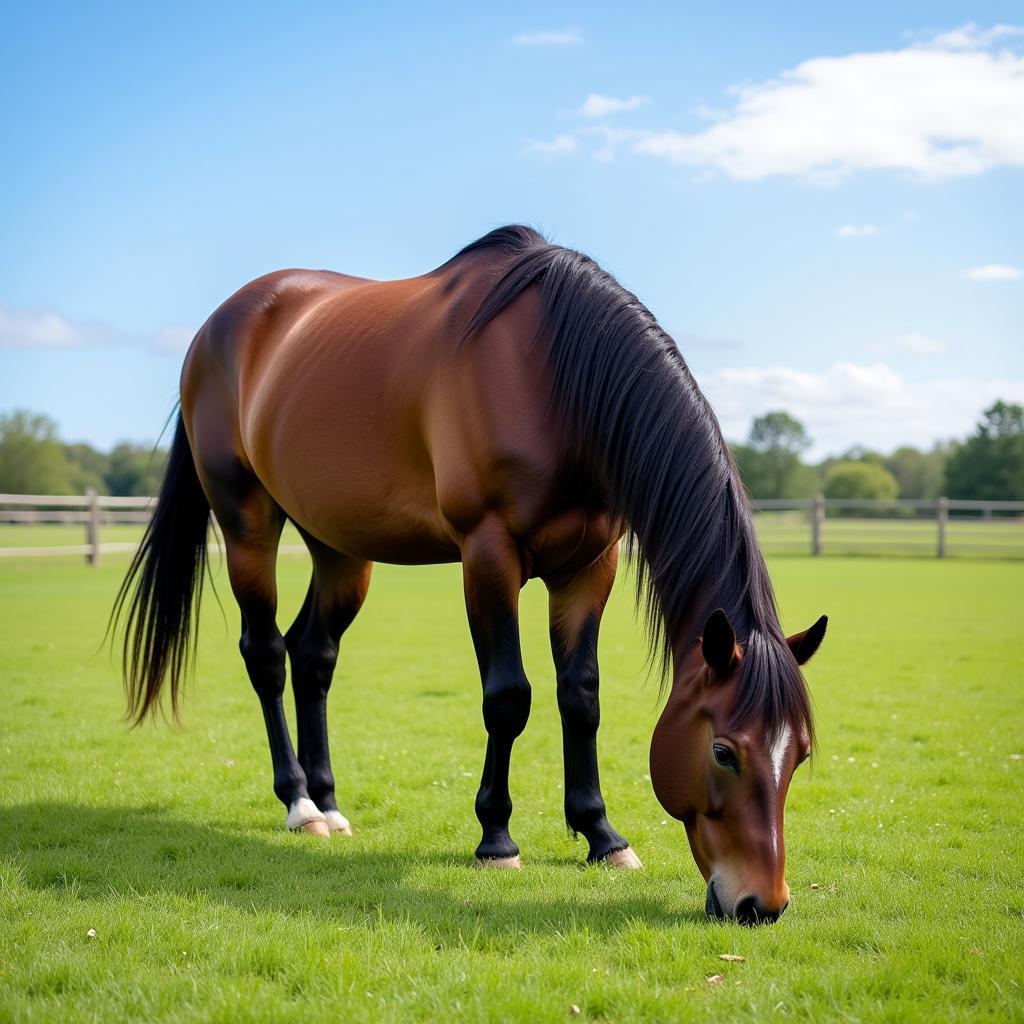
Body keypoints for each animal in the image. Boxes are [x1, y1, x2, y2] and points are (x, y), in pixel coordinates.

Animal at [116, 226, 827, 929]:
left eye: (800, 753)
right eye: (724, 752)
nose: (761, 904)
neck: (553, 375)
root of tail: (216, 328)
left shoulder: (590, 566)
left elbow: (581, 695)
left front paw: (601, 836)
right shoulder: (488, 552)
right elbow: (508, 697)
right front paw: (497, 839)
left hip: (340, 546)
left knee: (312, 655)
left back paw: (331, 802)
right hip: (247, 523)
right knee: (265, 654)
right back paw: (301, 806)